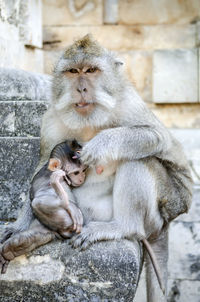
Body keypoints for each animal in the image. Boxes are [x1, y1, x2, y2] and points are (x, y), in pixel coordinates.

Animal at [0, 34, 193, 300]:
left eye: (91, 70)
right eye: (73, 71)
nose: (81, 88)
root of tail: (165, 224)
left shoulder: (127, 103)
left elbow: (157, 136)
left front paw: (101, 143)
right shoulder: (51, 118)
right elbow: (42, 167)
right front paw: (18, 225)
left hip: (162, 208)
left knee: (138, 159)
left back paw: (122, 226)